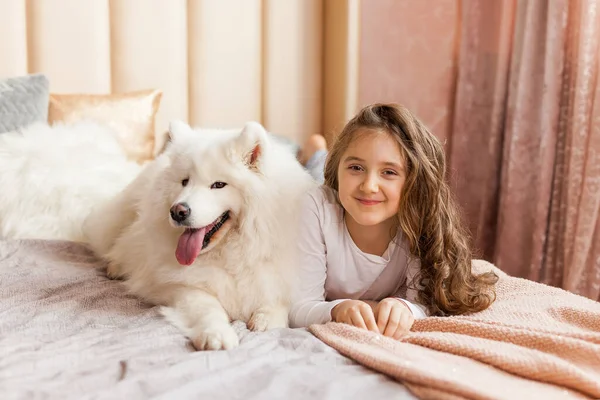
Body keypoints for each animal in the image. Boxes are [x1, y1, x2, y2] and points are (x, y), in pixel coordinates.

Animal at [82, 119, 316, 350]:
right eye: (185, 181)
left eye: (219, 185)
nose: (177, 211)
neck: (232, 251)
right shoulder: (179, 286)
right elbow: (207, 307)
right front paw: (217, 334)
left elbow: (279, 298)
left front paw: (266, 318)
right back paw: (116, 267)